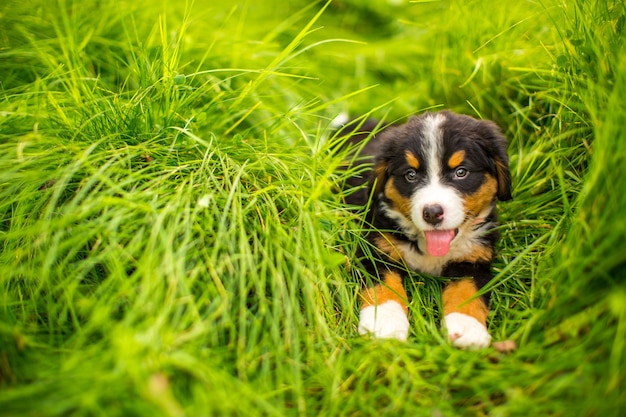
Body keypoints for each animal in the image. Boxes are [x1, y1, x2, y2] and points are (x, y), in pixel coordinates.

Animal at [338, 109, 510, 348]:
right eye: (411, 175)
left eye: (461, 172)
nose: (432, 212)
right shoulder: (375, 250)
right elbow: (383, 287)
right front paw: (384, 324)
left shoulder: (474, 260)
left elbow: (467, 291)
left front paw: (467, 328)